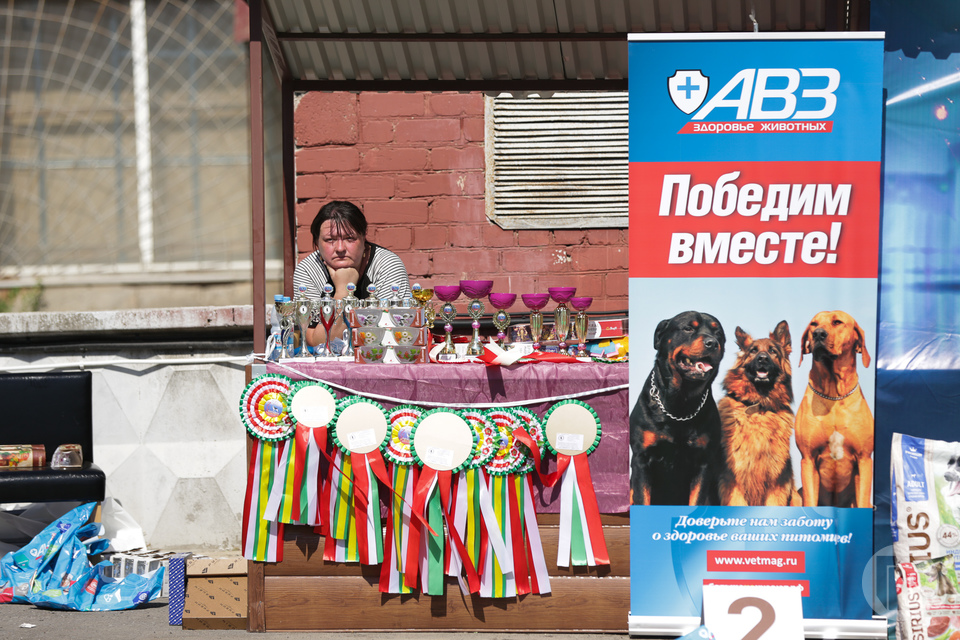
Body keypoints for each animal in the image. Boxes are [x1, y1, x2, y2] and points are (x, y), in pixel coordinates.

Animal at [792, 312, 872, 508]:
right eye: (813, 324)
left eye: (837, 322)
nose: (818, 334)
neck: (834, 395)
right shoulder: (808, 459)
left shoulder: (865, 459)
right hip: (796, 496)